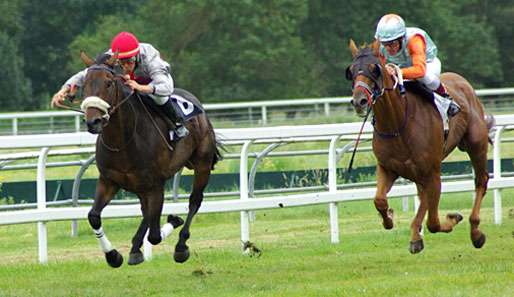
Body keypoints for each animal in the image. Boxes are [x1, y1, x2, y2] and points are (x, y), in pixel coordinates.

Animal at [79, 52, 219, 266]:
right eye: (84, 84)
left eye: (108, 83)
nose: (93, 122)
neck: (123, 141)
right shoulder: (109, 180)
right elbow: (94, 216)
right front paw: (113, 255)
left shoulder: (155, 185)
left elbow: (154, 235)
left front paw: (174, 224)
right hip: (141, 186)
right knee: (146, 212)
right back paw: (136, 248)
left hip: (201, 164)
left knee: (194, 200)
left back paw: (180, 245)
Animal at [344, 38, 492, 252]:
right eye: (352, 71)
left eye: (375, 69)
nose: (359, 101)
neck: (397, 124)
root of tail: (462, 81)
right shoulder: (388, 168)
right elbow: (380, 200)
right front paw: (390, 218)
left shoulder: (432, 172)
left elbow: (433, 222)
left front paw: (448, 221)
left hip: (476, 144)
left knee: (481, 181)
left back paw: (476, 232)